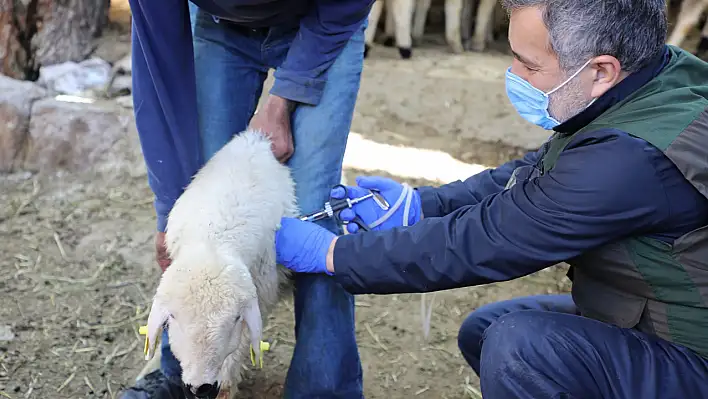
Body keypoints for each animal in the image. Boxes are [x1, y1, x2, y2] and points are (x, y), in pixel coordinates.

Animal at [142, 130, 298, 399]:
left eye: (236, 318)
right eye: (171, 317)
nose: (200, 387)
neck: (213, 240)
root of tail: (255, 138)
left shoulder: (261, 294)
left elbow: (239, 350)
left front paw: (225, 384)